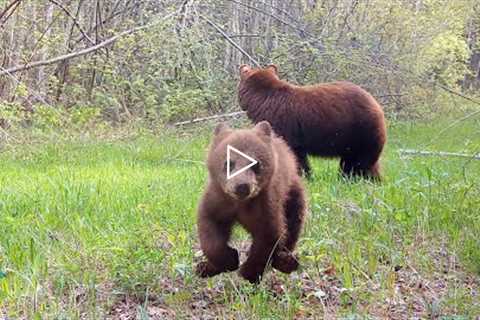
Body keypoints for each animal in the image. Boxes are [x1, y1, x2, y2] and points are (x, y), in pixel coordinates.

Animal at [196, 121, 306, 284]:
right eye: (228, 163)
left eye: (255, 164)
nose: (242, 186)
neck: (240, 203)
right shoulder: (218, 198)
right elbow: (209, 226)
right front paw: (230, 258)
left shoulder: (266, 204)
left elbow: (269, 235)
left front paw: (248, 272)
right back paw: (205, 268)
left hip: (292, 193)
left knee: (294, 223)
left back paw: (286, 262)